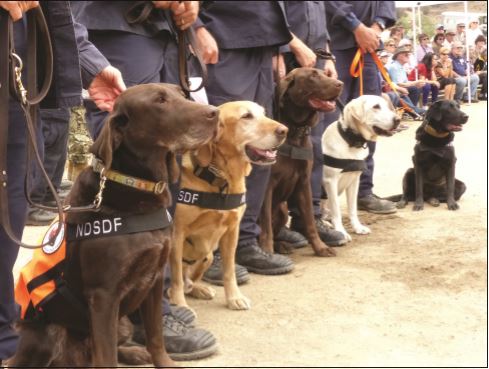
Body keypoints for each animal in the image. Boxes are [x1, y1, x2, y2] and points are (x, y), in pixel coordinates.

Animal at [10, 83, 217, 366]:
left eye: (182, 94)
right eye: (160, 101)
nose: (215, 113)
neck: (137, 187)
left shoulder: (153, 281)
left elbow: (156, 338)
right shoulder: (104, 295)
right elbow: (106, 357)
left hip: (124, 323)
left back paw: (135, 352)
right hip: (48, 334)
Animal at [170, 101, 288, 310]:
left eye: (264, 113)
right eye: (246, 116)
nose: (284, 130)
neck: (220, 179)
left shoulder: (232, 231)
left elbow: (229, 270)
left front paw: (234, 297)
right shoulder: (177, 233)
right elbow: (175, 276)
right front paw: (179, 304)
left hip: (208, 256)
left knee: (189, 282)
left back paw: (199, 288)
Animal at [258, 68, 342, 256]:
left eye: (324, 73)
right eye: (313, 76)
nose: (340, 83)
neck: (294, 132)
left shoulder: (304, 183)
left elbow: (310, 221)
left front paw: (320, 247)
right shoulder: (267, 186)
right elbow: (265, 225)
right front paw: (267, 252)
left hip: (282, 210)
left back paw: (282, 245)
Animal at [320, 93, 400, 240]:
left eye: (387, 106)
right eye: (376, 107)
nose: (398, 119)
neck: (350, 141)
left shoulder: (354, 180)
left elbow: (352, 209)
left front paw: (357, 227)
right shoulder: (330, 181)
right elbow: (336, 211)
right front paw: (341, 231)